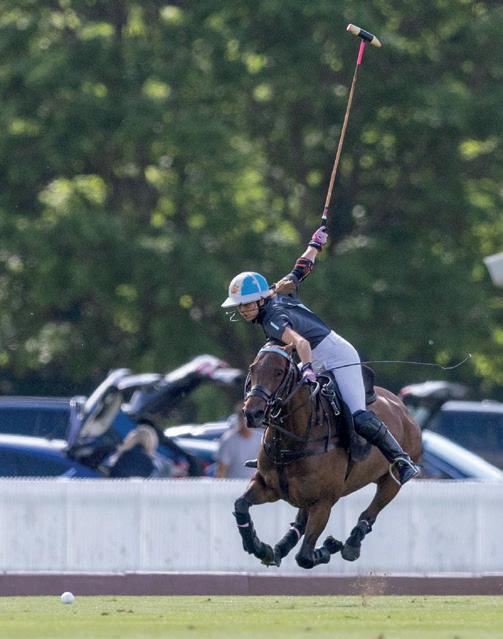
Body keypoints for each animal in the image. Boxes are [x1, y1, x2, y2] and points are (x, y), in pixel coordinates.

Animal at [233, 343, 422, 569]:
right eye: (252, 369)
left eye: (278, 372)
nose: (252, 413)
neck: (293, 438)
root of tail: (403, 409)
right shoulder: (269, 487)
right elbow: (241, 504)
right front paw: (259, 547)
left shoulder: (323, 502)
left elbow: (305, 557)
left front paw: (330, 545)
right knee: (299, 522)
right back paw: (279, 549)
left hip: (391, 481)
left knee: (370, 513)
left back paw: (351, 544)